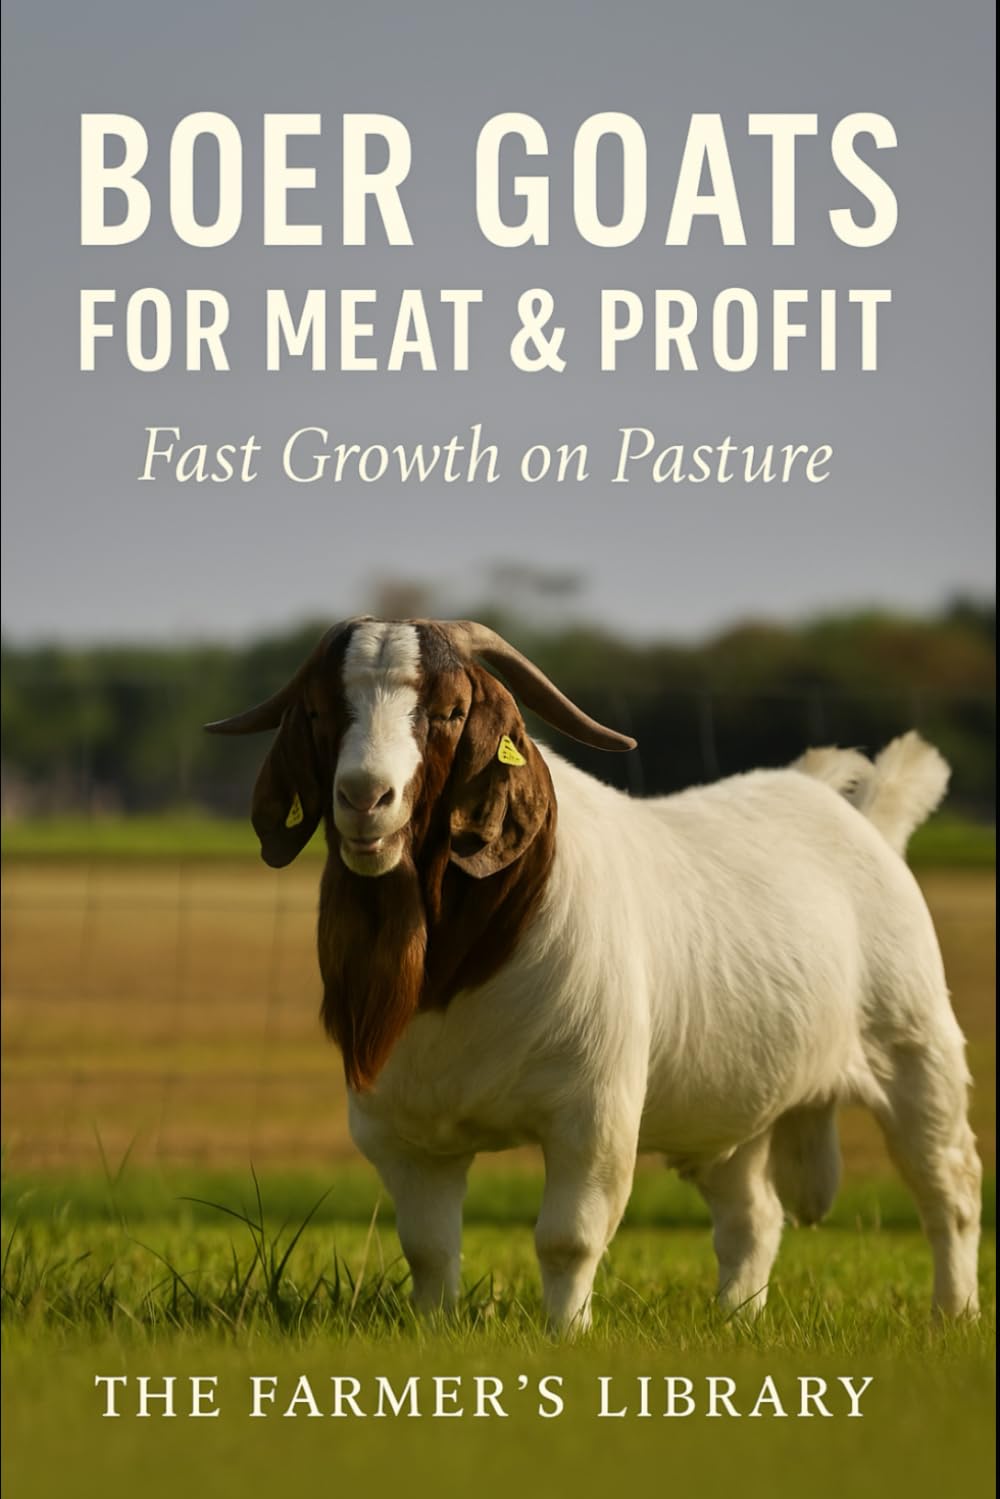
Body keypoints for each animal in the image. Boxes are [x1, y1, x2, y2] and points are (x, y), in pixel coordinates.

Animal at [207, 617, 981, 1329]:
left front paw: (565, 1335)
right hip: (730, 1104)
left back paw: (954, 1315)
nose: (366, 798)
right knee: (753, 1216)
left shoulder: (594, 1112)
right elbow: (427, 1248)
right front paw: (435, 1330)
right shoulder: (403, 1128)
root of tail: (864, 816)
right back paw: (737, 1319)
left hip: (916, 1050)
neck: (462, 962)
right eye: (319, 711)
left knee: (951, 1189)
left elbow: (568, 1238)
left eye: (450, 710)